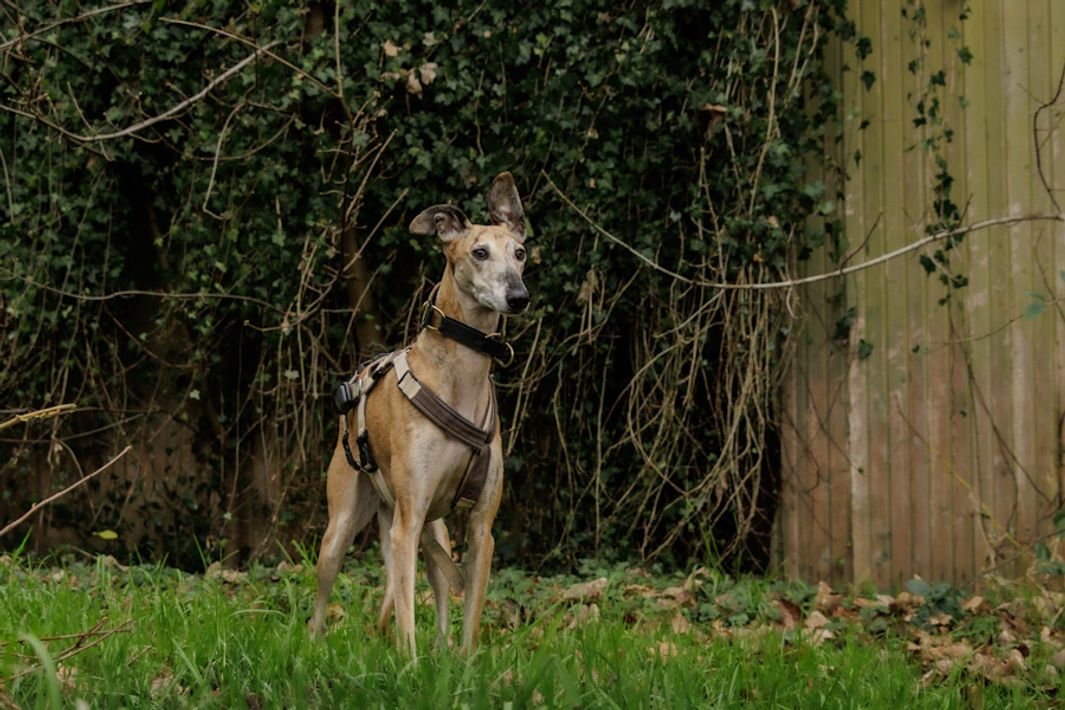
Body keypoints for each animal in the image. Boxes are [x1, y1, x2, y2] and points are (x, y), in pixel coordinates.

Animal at [308, 172, 529, 659]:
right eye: (479, 252)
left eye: (520, 253)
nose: (518, 296)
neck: (460, 379)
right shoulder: (406, 527)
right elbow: (407, 617)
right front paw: (408, 665)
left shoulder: (481, 530)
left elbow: (469, 617)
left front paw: (463, 664)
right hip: (342, 529)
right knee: (321, 604)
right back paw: (310, 646)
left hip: (435, 530)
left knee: (440, 589)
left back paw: (441, 653)